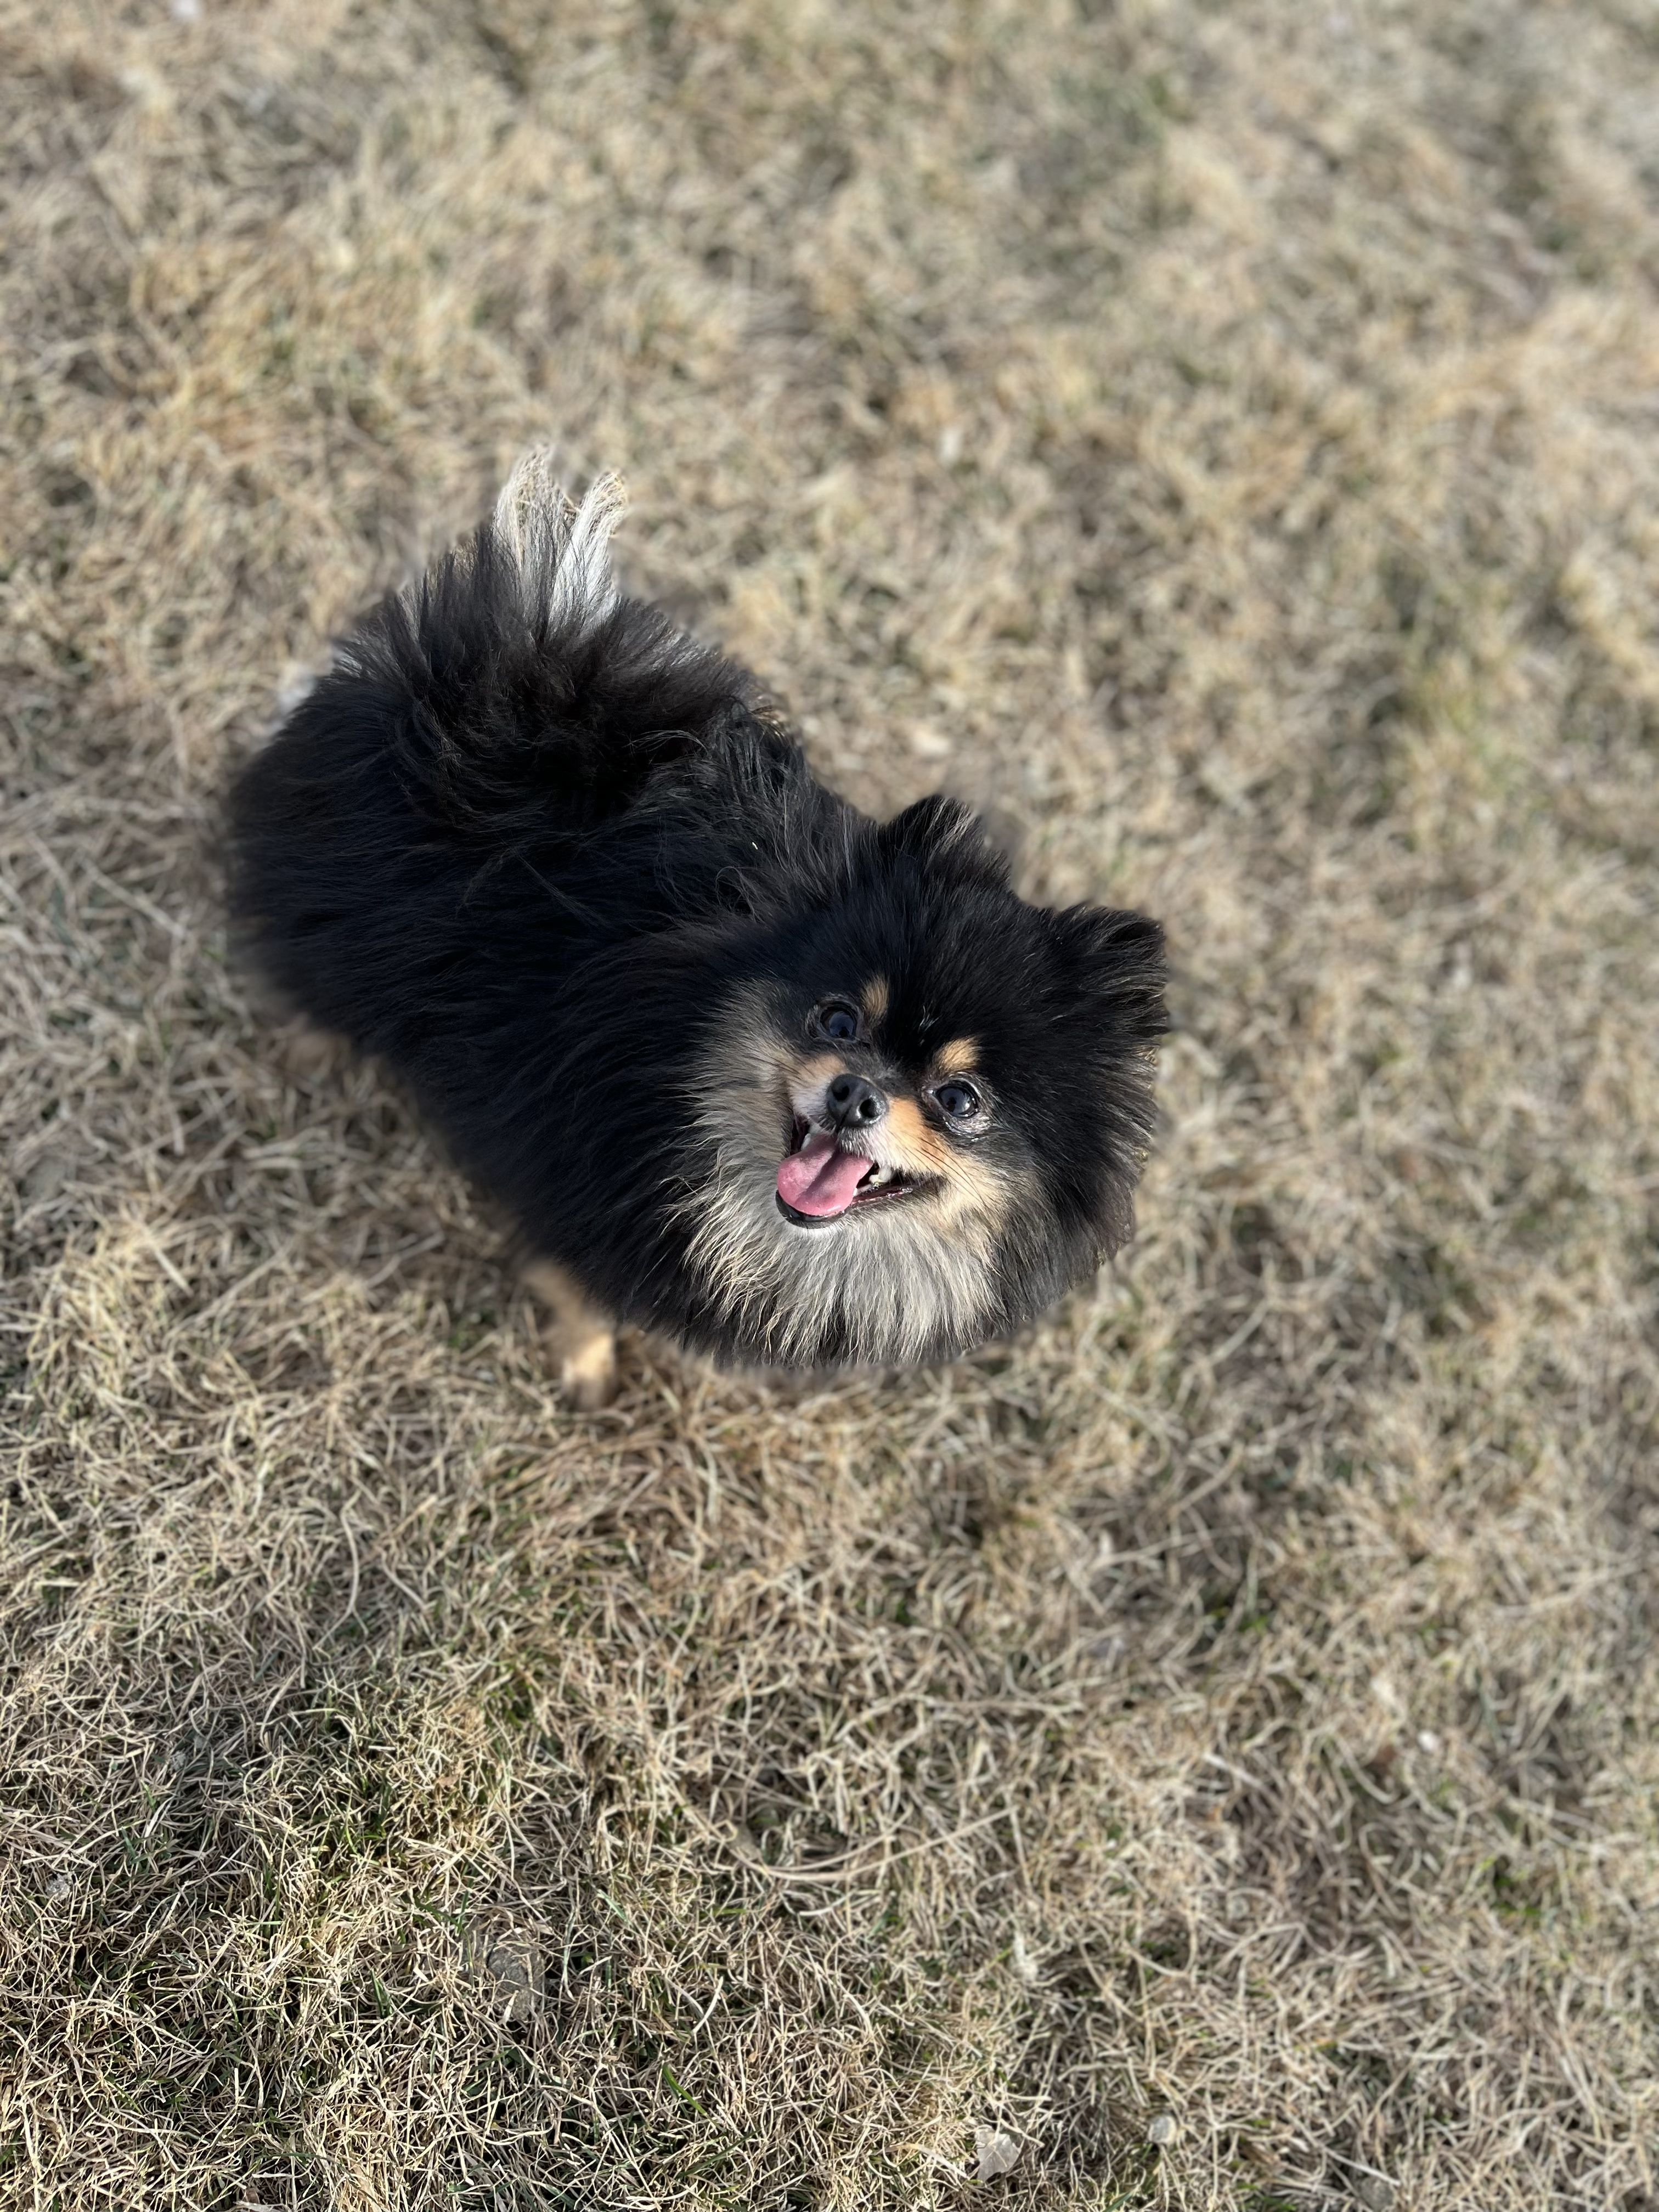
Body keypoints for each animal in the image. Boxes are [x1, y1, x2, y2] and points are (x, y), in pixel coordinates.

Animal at [231, 453, 1167, 1398]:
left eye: (960, 1099)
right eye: (837, 1020)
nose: (856, 1093)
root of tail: (517, 694)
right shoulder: (586, 1176)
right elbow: (583, 1288)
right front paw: (586, 1364)